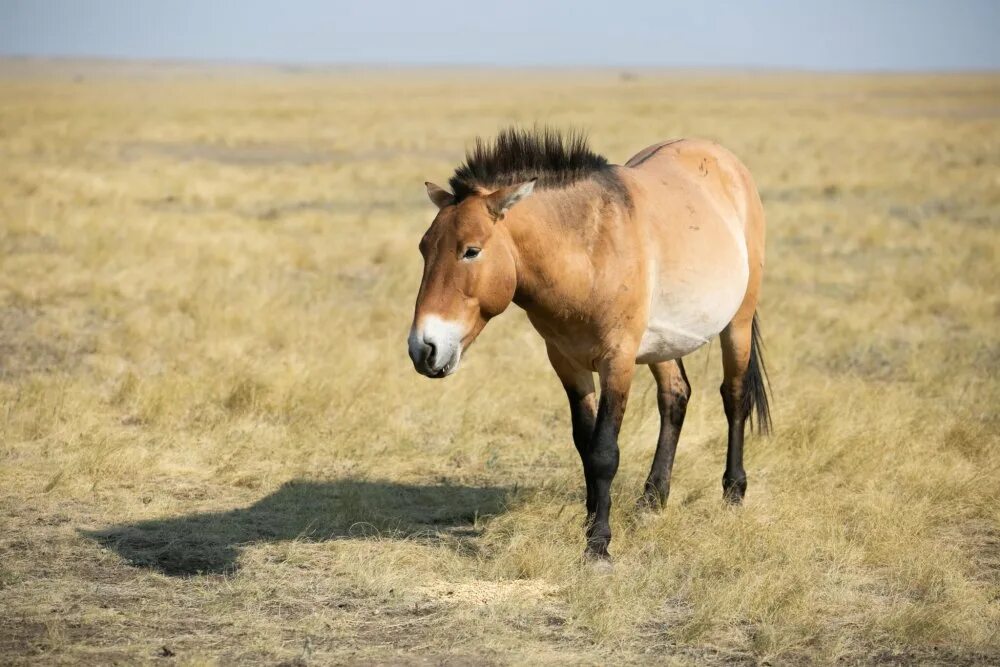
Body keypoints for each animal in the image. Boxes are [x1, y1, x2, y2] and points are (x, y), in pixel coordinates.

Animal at [410, 128, 768, 560]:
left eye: (471, 251)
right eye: (424, 248)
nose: (423, 348)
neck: (590, 252)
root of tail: (723, 159)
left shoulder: (618, 360)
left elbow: (604, 452)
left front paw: (598, 545)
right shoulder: (567, 362)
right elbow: (585, 445)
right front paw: (591, 522)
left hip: (738, 323)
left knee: (734, 397)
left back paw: (733, 493)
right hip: (662, 343)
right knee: (675, 396)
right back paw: (652, 500)